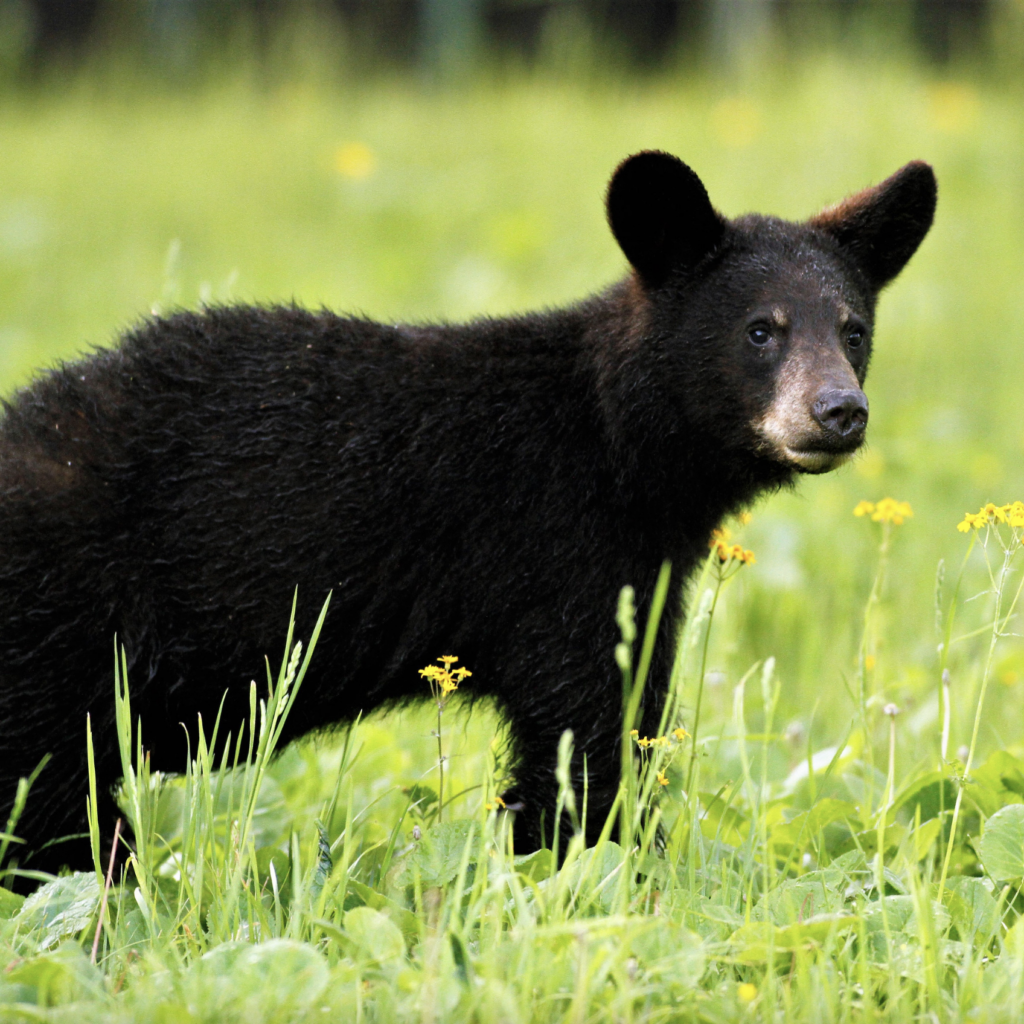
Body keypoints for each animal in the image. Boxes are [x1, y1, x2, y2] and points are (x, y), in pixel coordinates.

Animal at [0, 151, 937, 872]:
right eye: (760, 330)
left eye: (852, 328)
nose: (839, 411)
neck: (615, 443)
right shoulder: (561, 556)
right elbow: (580, 742)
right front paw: (616, 873)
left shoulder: (639, 576)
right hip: (60, 626)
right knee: (51, 802)